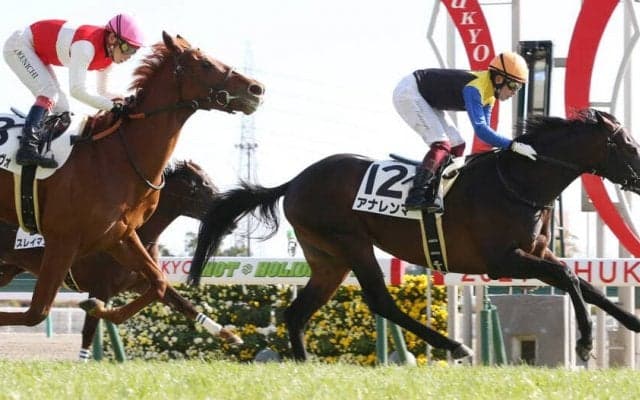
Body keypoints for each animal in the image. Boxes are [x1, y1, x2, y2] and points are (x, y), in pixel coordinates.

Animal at [0, 31, 264, 329]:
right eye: (205, 63)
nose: (256, 89)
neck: (118, 156)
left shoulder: (119, 236)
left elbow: (159, 283)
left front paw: (97, 307)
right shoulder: (63, 241)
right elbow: (37, 312)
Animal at [0, 160, 242, 359]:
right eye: (202, 188)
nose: (232, 223)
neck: (138, 232)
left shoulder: (138, 281)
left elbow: (183, 303)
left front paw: (230, 335)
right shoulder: (101, 286)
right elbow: (89, 331)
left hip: (7, 270)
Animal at [188, 110, 640, 362]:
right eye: (626, 143)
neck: (517, 181)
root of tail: (295, 181)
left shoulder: (537, 253)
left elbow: (586, 285)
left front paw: (632, 322)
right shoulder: (503, 260)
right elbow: (570, 280)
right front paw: (584, 343)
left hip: (328, 259)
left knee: (297, 312)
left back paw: (302, 365)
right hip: (351, 242)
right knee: (380, 301)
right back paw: (455, 346)